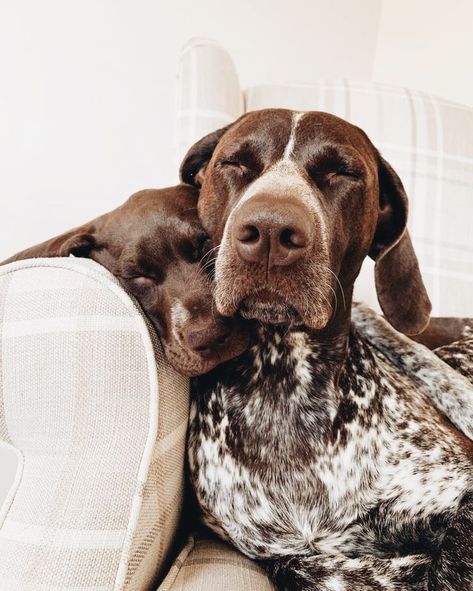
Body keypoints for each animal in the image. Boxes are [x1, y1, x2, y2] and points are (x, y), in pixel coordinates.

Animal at [180, 111, 472, 591]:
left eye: (341, 173)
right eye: (235, 164)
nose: (271, 231)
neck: (284, 383)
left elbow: (449, 559)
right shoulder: (286, 554)